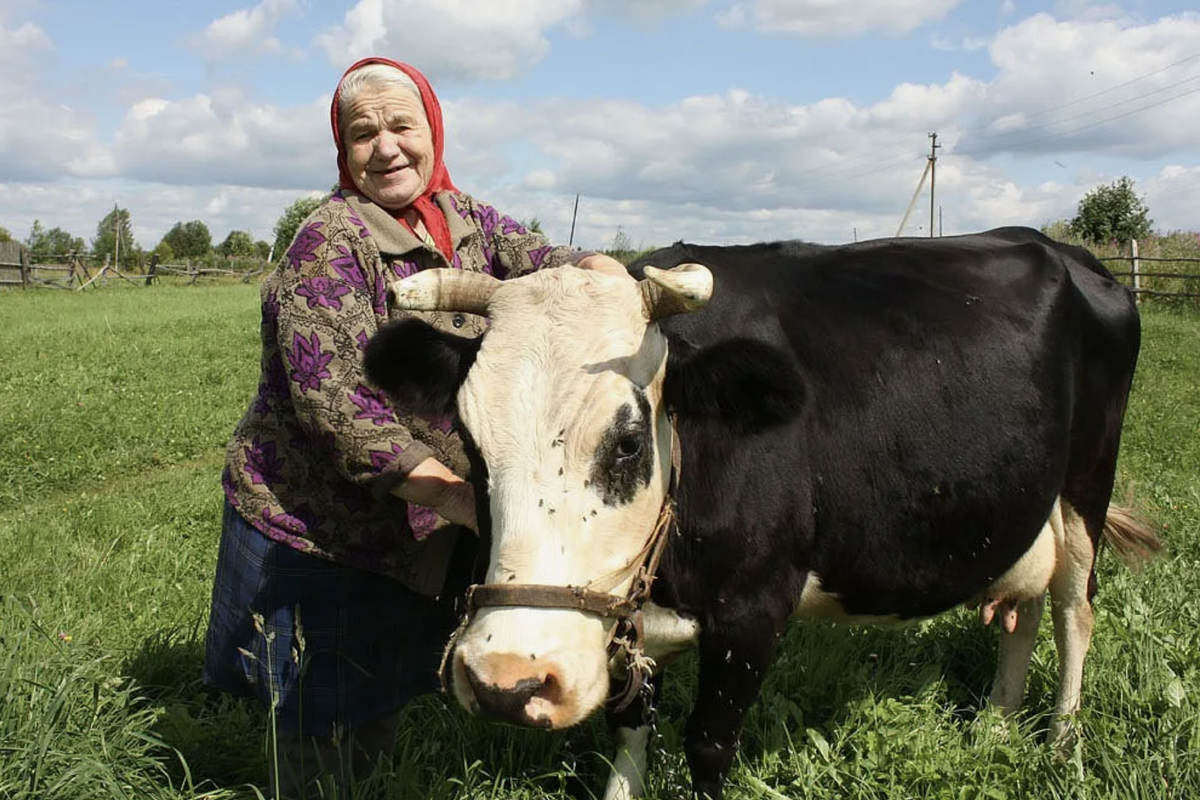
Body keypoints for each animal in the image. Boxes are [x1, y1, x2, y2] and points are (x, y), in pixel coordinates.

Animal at [362, 226, 1152, 800]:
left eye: (627, 441)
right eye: (470, 442)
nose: (507, 682)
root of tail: (1058, 247)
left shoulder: (753, 614)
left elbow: (709, 746)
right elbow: (628, 728)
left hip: (1087, 485)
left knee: (1074, 608)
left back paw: (1061, 742)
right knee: (1022, 606)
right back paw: (995, 723)